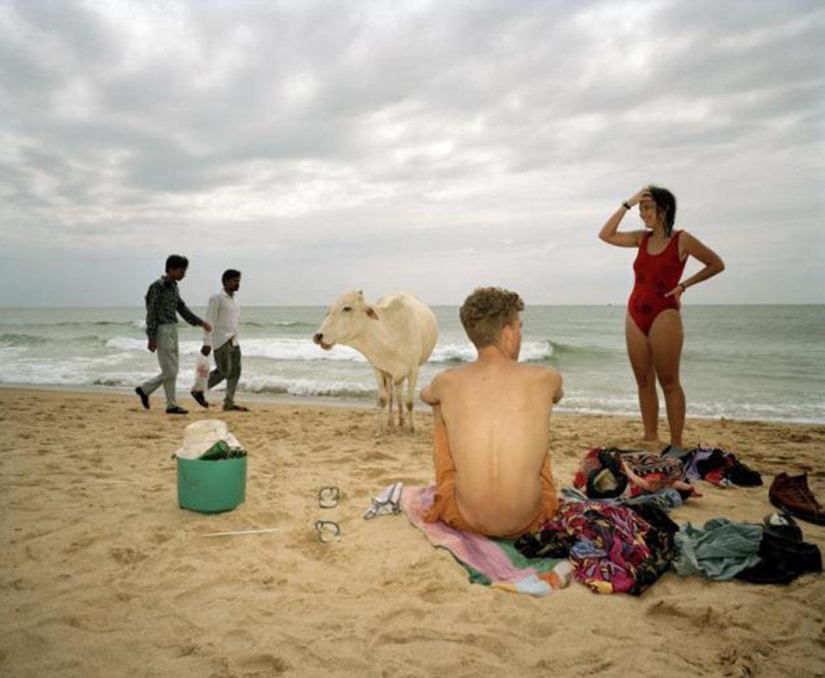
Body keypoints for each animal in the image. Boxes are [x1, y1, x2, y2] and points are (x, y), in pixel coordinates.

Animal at [312, 292, 438, 436]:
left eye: (347, 308)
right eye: (329, 310)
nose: (318, 336)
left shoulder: (414, 370)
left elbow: (410, 402)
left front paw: (412, 429)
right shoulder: (378, 368)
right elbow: (383, 399)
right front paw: (380, 430)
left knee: (399, 394)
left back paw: (402, 421)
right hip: (389, 376)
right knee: (393, 394)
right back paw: (392, 421)